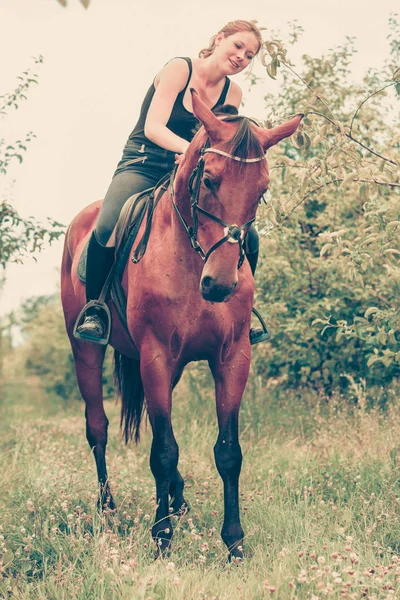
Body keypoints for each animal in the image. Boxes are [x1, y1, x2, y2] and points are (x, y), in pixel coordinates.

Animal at [61, 90, 302, 564]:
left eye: (263, 189)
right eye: (208, 179)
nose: (220, 284)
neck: (192, 260)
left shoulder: (232, 357)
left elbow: (228, 452)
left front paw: (234, 542)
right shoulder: (155, 355)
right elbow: (164, 451)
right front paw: (161, 538)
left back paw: (178, 499)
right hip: (87, 351)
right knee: (97, 427)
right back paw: (107, 508)